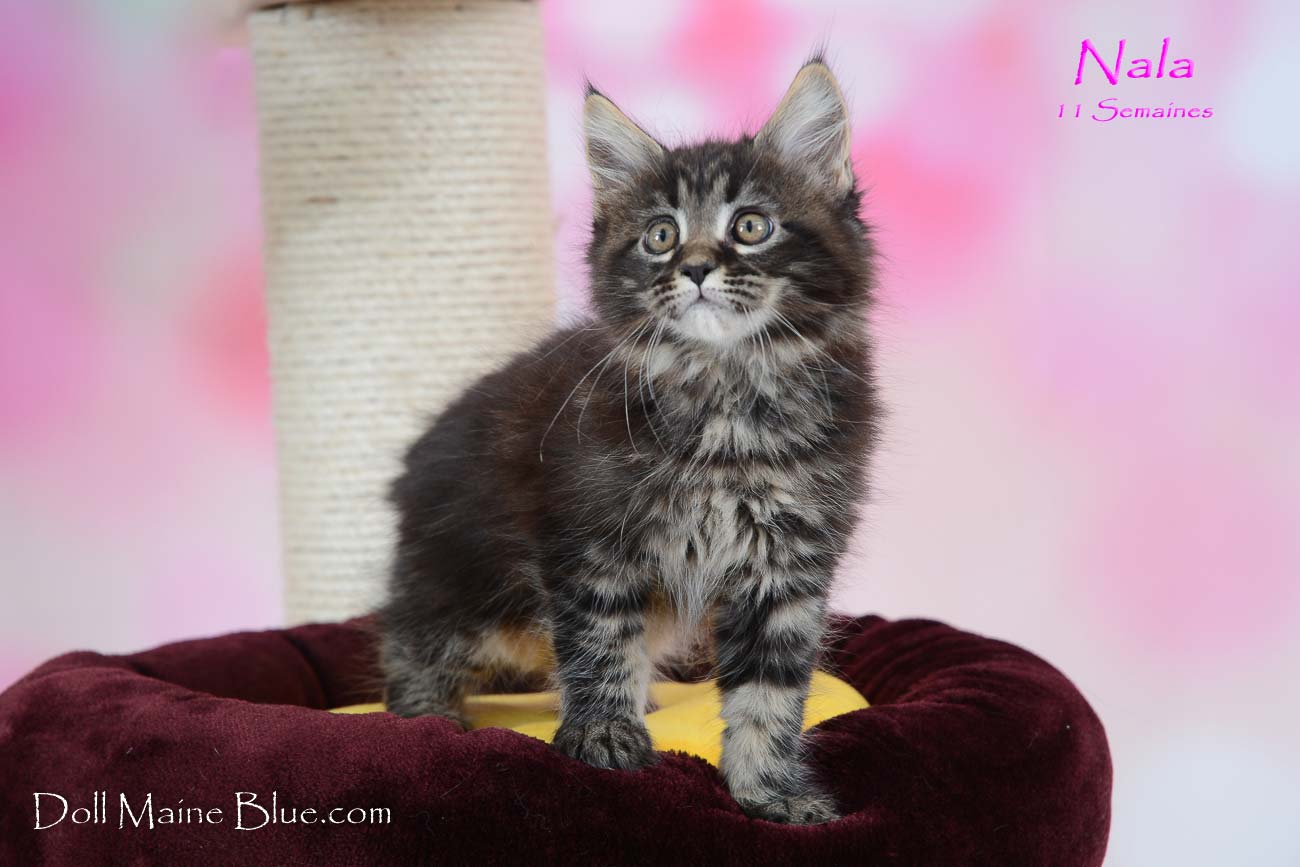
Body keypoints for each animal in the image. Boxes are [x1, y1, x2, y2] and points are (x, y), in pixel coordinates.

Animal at [378, 57, 878, 825]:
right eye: (661, 236)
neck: (726, 403)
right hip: (467, 581)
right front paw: (604, 737)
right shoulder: (588, 541)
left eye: (752, 225)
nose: (695, 267)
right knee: (409, 639)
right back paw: (430, 715)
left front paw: (770, 792)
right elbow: (600, 642)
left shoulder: (785, 565)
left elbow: (769, 693)